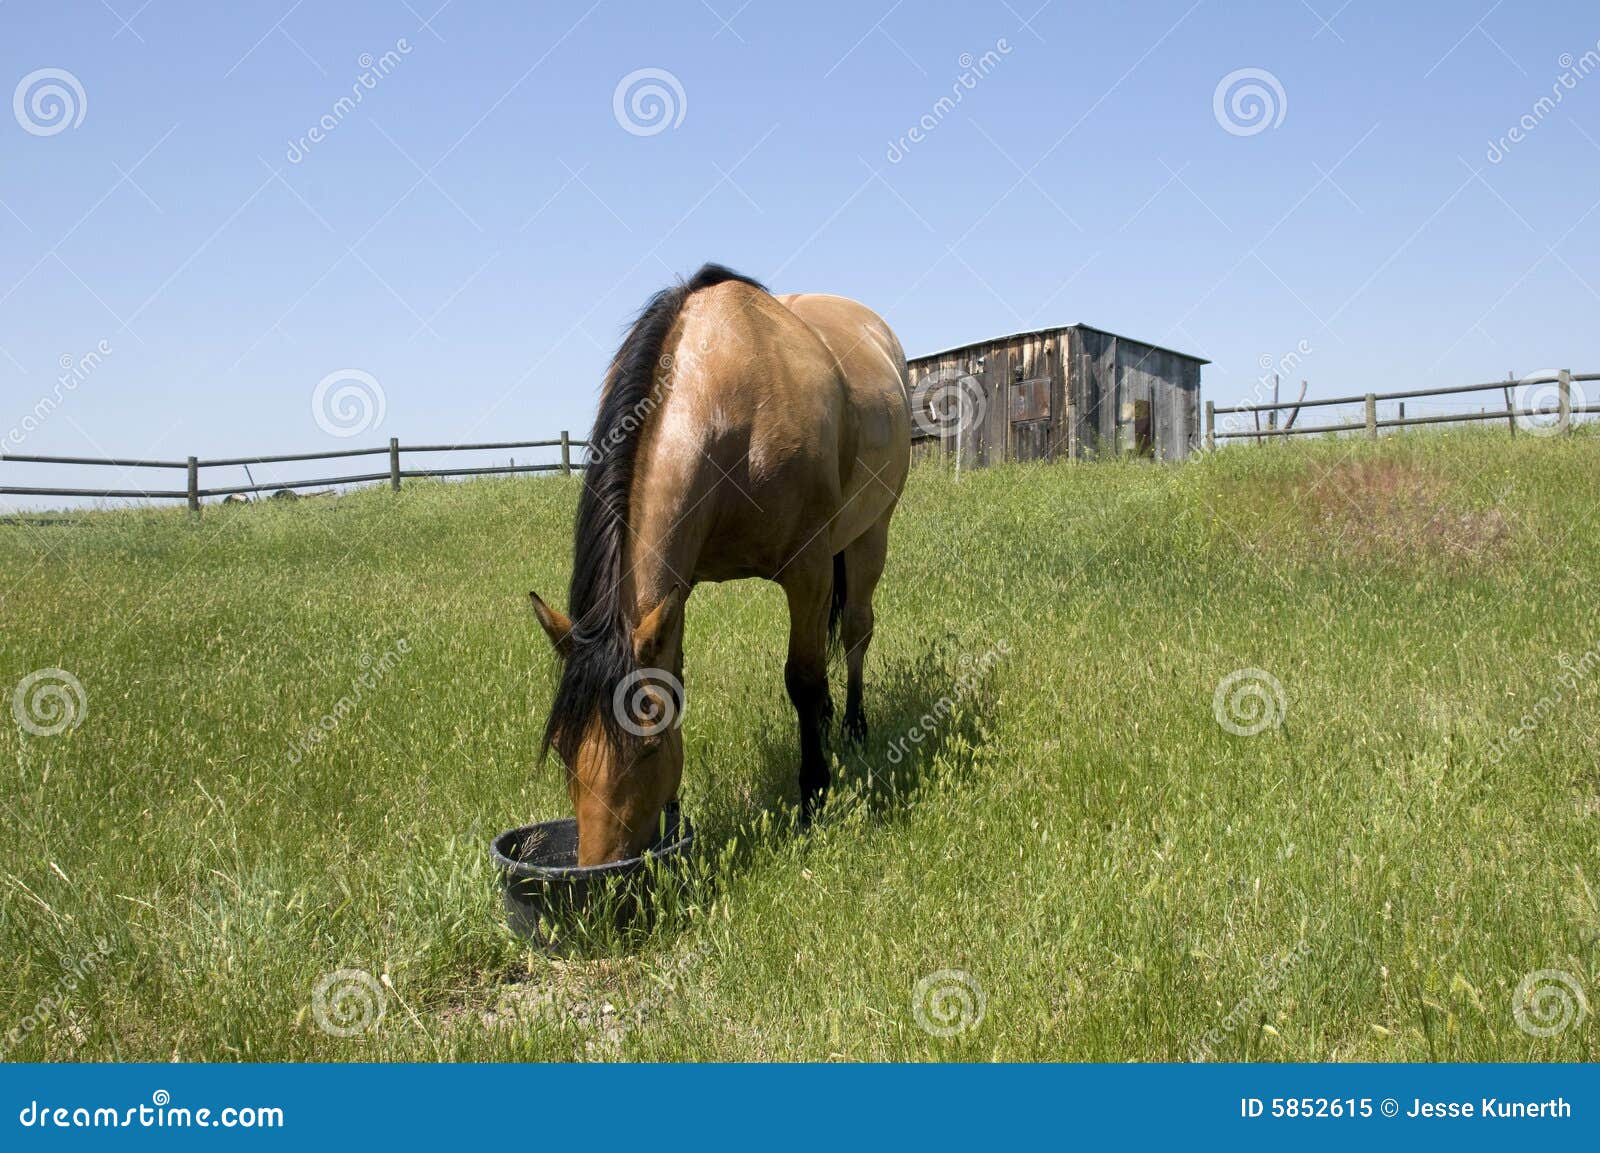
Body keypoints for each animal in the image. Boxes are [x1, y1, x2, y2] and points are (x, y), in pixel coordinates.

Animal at [529, 264, 911, 865]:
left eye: (648, 749)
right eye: (566, 751)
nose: (602, 869)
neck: (732, 408)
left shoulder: (808, 569)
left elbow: (803, 678)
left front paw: (813, 798)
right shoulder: (675, 592)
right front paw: (674, 821)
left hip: (870, 534)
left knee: (855, 632)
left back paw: (852, 726)